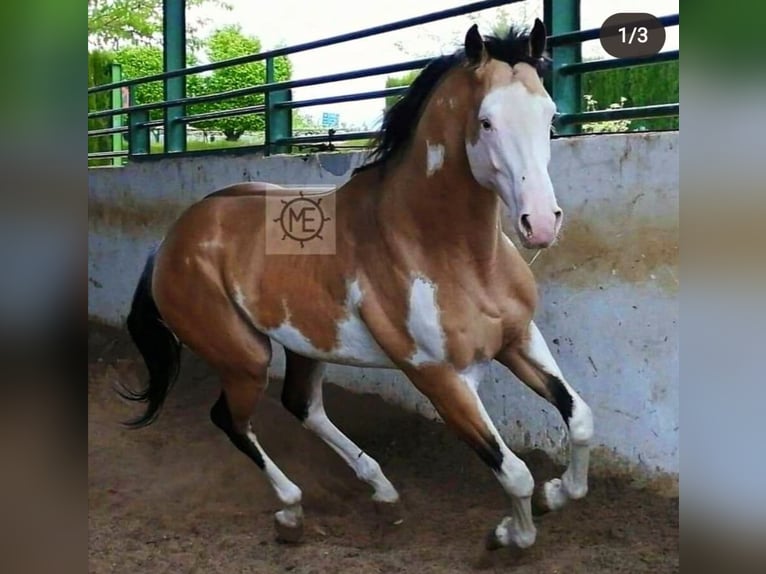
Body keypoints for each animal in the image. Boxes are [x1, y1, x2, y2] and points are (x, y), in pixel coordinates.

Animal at [123, 21, 596, 552]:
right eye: (487, 121)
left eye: (549, 115)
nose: (541, 223)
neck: (445, 252)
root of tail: (171, 242)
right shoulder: (439, 376)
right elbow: (513, 472)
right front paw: (509, 534)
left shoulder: (518, 339)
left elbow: (580, 419)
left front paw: (557, 493)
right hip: (245, 359)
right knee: (232, 421)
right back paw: (291, 511)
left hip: (304, 343)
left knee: (301, 405)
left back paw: (382, 489)